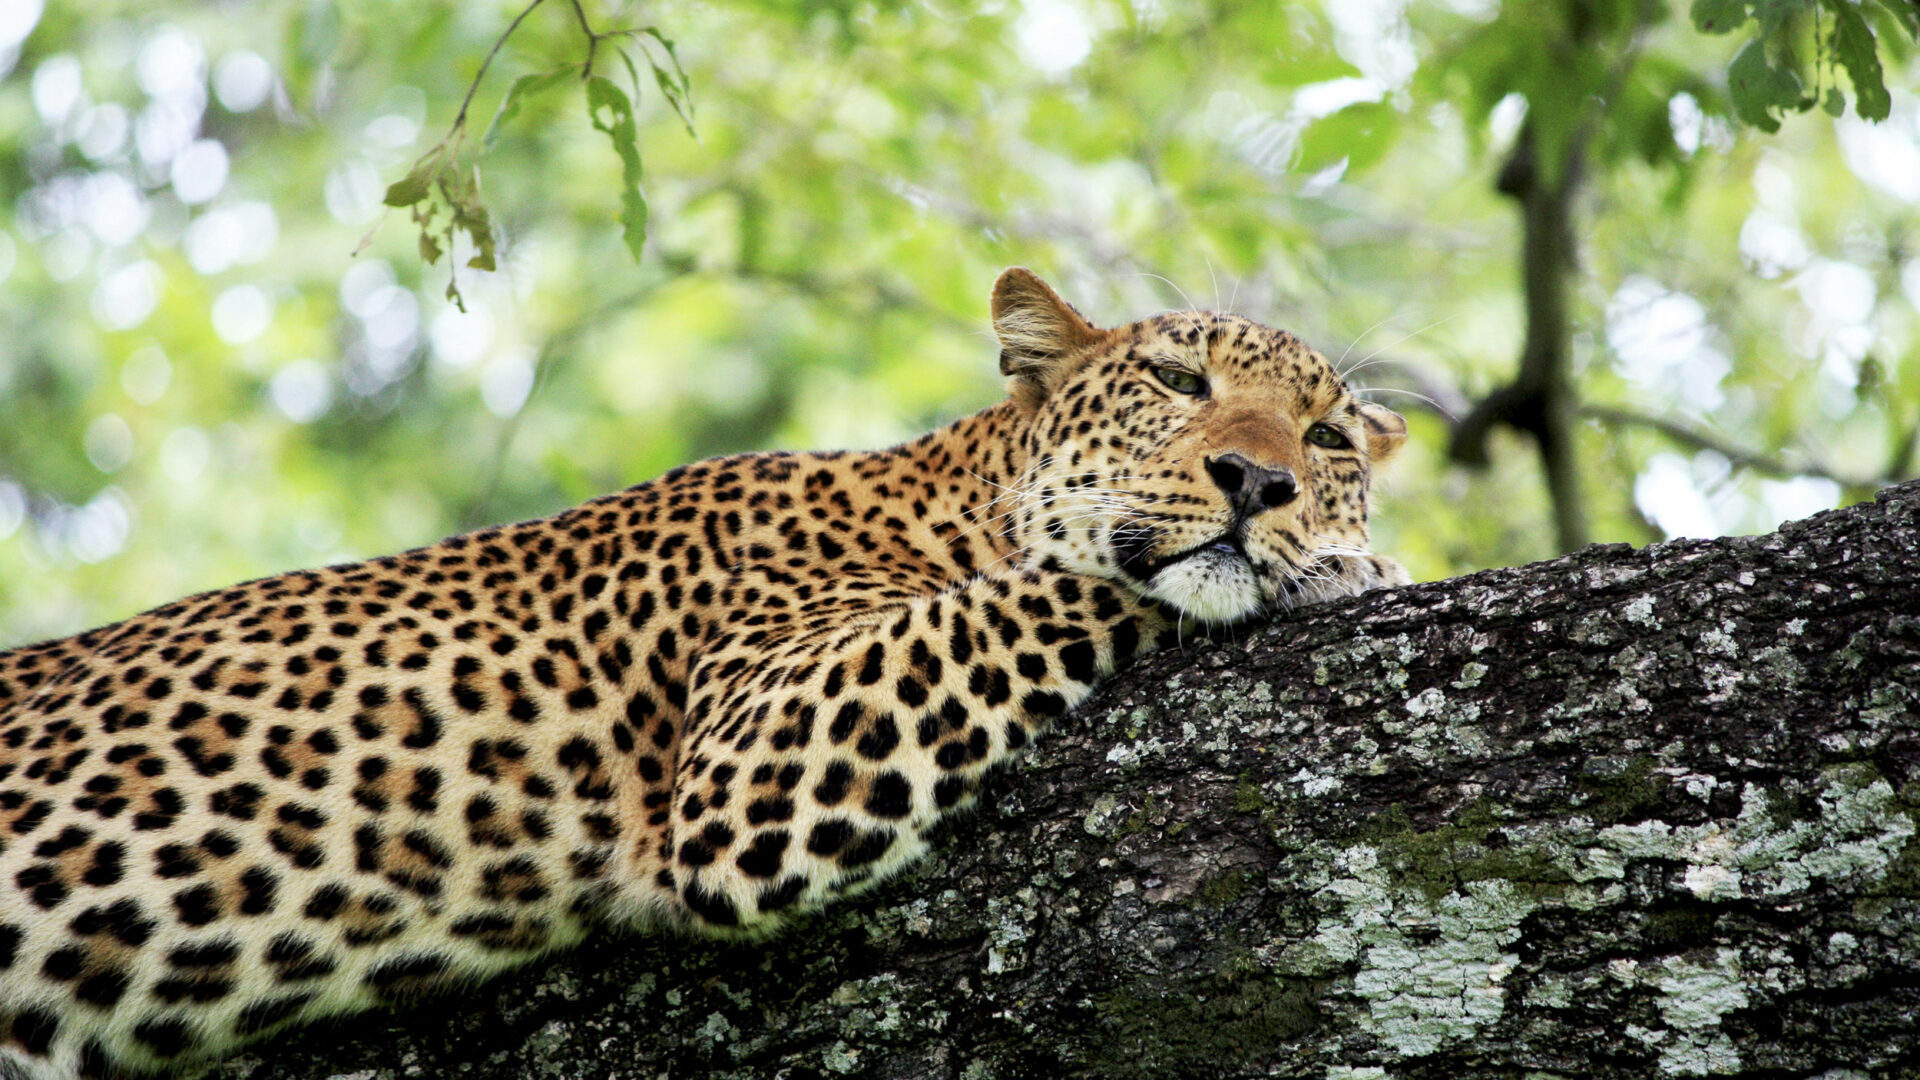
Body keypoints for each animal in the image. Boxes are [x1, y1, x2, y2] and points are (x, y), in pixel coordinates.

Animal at [0, 268, 1408, 1079]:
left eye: (1329, 436)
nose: (1262, 482)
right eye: (1175, 377)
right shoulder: (759, 760)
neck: (945, 499)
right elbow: (1069, 588)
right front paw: (1349, 567)